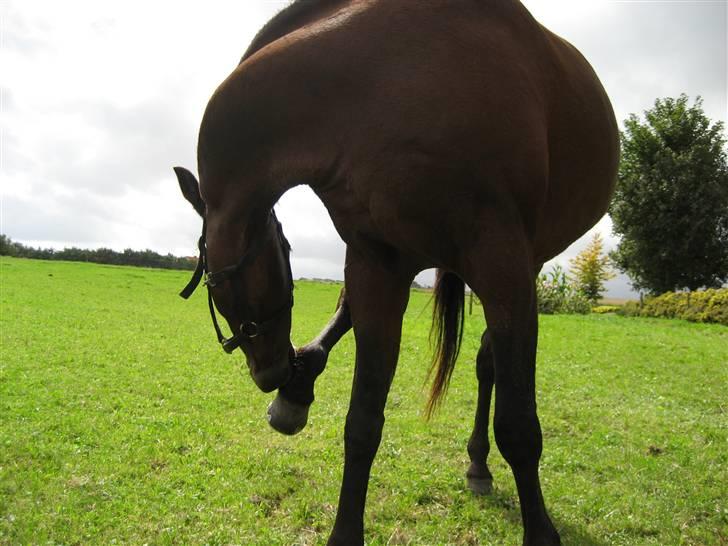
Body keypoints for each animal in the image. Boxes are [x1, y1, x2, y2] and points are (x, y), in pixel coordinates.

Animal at [173, 2, 616, 540]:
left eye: (211, 279)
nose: (270, 370)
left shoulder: (503, 260)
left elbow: (519, 427)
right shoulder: (376, 263)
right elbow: (362, 421)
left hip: (521, 265)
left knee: (489, 362)